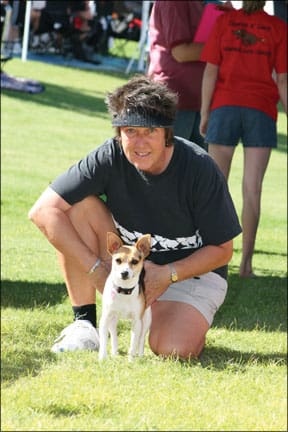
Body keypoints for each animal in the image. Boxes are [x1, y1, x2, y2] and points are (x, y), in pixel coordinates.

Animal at [99, 231, 152, 360]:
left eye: (134, 261)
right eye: (118, 260)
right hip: (112, 320)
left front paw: (131, 360)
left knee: (141, 339)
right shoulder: (105, 319)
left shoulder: (137, 322)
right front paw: (102, 358)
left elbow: (133, 344)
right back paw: (114, 353)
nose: (124, 272)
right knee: (113, 335)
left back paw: (140, 356)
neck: (124, 290)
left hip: (146, 320)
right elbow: (103, 340)